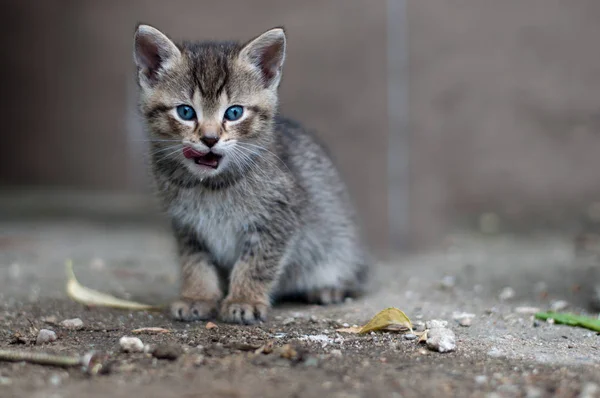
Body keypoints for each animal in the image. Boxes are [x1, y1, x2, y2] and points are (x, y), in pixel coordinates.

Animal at [132, 24, 370, 324]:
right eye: (185, 112)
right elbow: (195, 264)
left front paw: (244, 300)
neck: (211, 185)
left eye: (234, 112)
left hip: (339, 241)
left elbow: (256, 263)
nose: (209, 139)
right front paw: (197, 297)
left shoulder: (278, 217)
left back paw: (330, 288)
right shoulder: (187, 227)